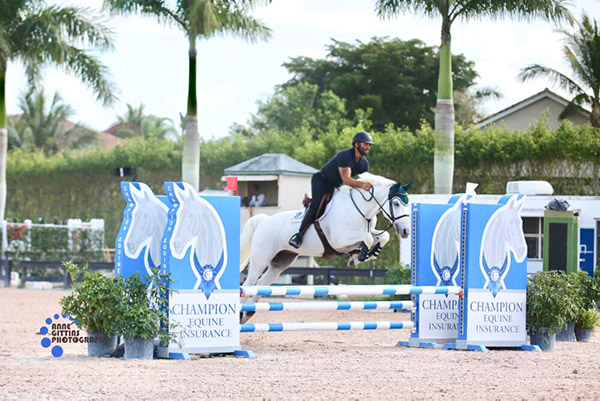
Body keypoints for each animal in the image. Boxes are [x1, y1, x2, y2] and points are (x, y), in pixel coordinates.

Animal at [241, 175, 410, 316]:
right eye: (396, 203)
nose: (406, 231)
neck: (360, 211)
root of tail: (264, 221)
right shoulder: (339, 239)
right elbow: (367, 239)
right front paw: (360, 256)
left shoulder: (362, 234)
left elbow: (383, 237)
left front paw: (365, 255)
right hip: (261, 259)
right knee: (249, 283)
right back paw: (242, 314)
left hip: (281, 261)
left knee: (261, 283)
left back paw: (248, 314)